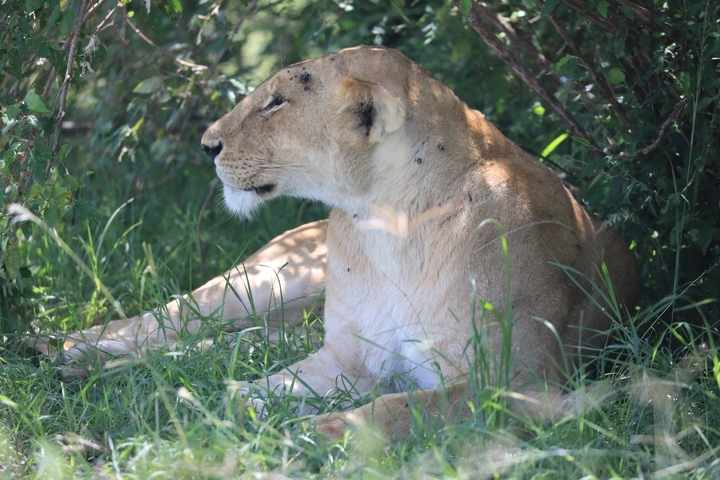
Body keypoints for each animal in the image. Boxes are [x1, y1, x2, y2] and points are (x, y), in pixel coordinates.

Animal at [36, 45, 638, 440]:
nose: (207, 145)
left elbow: (398, 409)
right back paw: (61, 351)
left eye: (276, 102)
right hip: (268, 279)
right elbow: (263, 386)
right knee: (162, 321)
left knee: (217, 345)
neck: (387, 224)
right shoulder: (342, 359)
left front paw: (308, 431)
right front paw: (213, 413)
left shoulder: (519, 383)